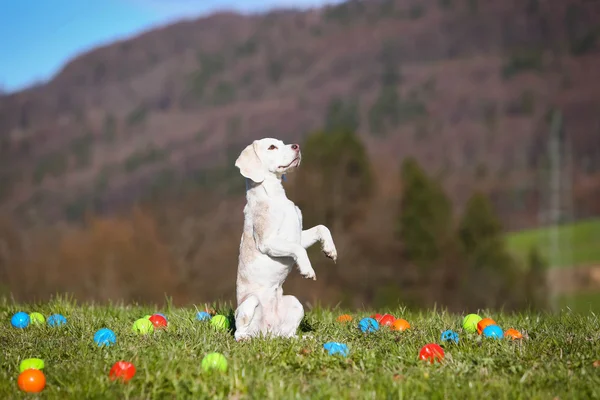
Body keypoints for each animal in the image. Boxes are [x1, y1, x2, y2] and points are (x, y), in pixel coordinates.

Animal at [233, 138, 338, 340]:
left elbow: (322, 228)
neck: (275, 196)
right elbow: (299, 250)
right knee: (239, 331)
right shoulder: (268, 242)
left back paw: (304, 338)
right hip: (250, 303)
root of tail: (266, 333)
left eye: (282, 143)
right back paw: (245, 339)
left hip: (295, 303)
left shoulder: (298, 236)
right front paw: (307, 270)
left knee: (287, 335)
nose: (296, 146)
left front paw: (330, 250)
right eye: (272, 147)